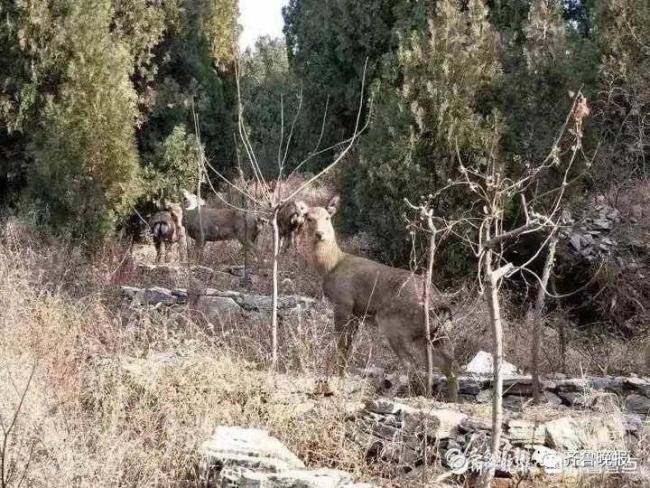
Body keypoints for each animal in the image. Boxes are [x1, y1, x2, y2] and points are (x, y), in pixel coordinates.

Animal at [298, 194, 456, 400]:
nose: (320, 234)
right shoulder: (357, 313)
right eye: (309, 218)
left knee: (411, 362)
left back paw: (389, 394)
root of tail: (440, 303)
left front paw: (338, 375)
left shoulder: (343, 301)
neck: (332, 265)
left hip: (394, 323)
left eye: (327, 217)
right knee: (448, 361)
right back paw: (449, 398)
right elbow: (348, 346)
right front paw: (343, 373)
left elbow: (340, 343)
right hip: (432, 333)